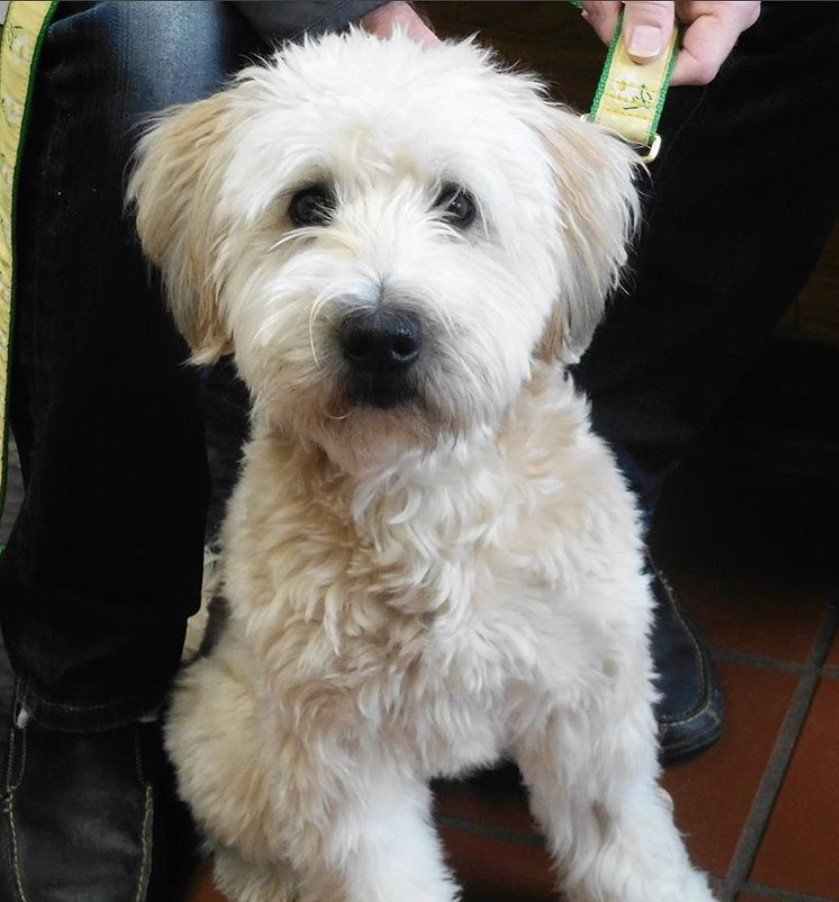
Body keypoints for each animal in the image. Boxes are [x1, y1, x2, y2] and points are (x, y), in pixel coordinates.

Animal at [128, 28, 712, 902]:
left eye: (458, 204)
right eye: (307, 203)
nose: (379, 335)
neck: (424, 491)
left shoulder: (587, 707)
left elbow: (628, 848)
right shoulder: (338, 752)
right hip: (227, 734)